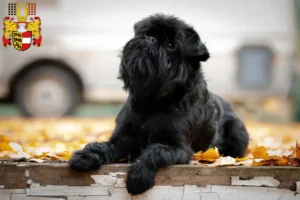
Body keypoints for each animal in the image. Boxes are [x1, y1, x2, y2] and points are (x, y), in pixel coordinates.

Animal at [69, 14, 250, 195]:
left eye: (170, 45)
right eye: (146, 34)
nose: (150, 39)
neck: (153, 101)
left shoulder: (179, 148)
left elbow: (154, 151)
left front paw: (139, 176)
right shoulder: (122, 137)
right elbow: (104, 146)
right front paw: (86, 156)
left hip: (237, 131)